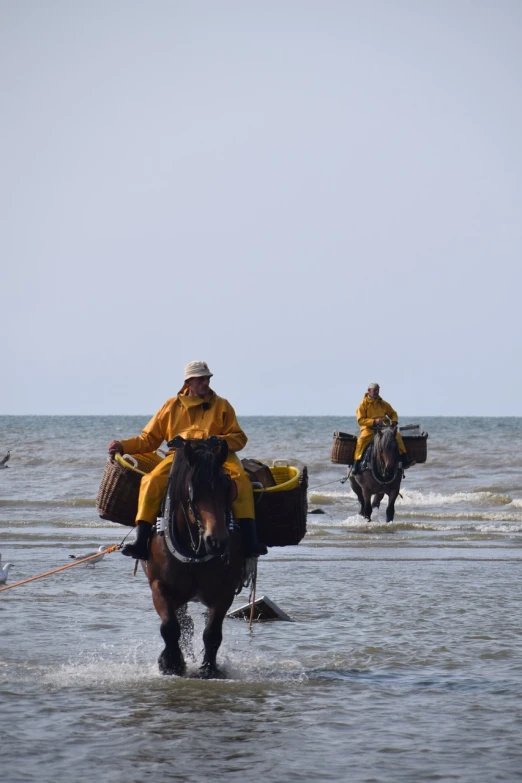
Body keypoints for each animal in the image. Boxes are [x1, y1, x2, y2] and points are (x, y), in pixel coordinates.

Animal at [144, 434, 246, 680]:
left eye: (228, 488)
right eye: (192, 491)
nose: (216, 540)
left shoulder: (225, 590)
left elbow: (212, 632)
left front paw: (209, 668)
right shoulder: (159, 585)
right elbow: (169, 627)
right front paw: (171, 664)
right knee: (183, 624)